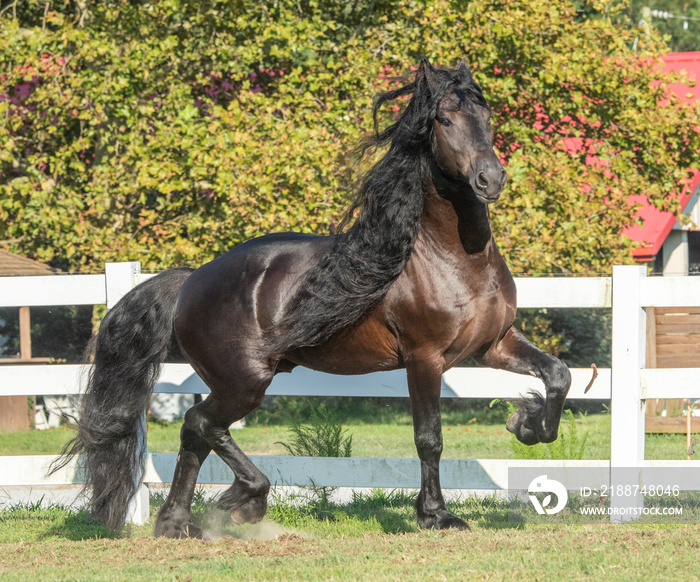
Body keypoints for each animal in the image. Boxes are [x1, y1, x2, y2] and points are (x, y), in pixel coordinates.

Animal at [54, 59, 568, 540]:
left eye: (487, 114)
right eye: (443, 119)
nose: (490, 178)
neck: (454, 260)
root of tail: (190, 280)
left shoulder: (493, 344)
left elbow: (558, 375)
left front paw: (526, 425)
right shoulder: (424, 359)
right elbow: (429, 438)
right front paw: (436, 516)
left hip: (241, 382)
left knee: (197, 434)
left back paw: (182, 522)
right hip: (245, 381)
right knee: (199, 423)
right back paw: (239, 501)